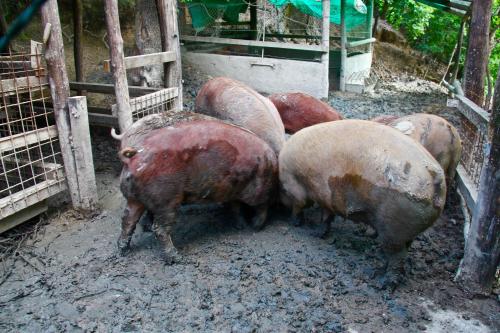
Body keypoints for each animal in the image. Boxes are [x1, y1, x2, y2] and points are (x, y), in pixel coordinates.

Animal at [119, 119, 280, 262]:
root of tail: (135, 155)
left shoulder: (232, 192)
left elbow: (236, 208)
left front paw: (241, 226)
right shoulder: (260, 190)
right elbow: (261, 207)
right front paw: (255, 227)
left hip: (134, 198)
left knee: (127, 220)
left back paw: (123, 251)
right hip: (166, 199)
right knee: (159, 229)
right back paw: (177, 258)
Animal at [280, 120, 448, 288]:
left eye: (283, 189)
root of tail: (435, 177)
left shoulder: (294, 185)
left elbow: (300, 205)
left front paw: (295, 223)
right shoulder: (325, 197)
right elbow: (326, 216)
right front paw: (317, 234)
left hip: (394, 228)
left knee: (396, 257)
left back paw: (382, 282)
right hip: (406, 228)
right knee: (404, 249)